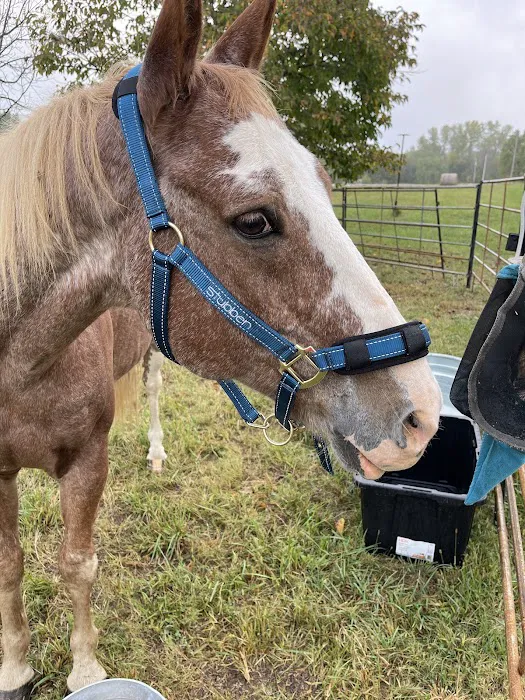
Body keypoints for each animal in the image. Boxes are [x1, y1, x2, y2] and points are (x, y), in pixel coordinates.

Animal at [0, 0, 442, 695]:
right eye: (254, 220)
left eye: (324, 185)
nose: (420, 416)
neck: (23, 365)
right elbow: (11, 565)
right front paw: (15, 664)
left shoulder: (89, 459)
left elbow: (77, 563)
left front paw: (85, 667)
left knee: (154, 389)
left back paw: (156, 454)